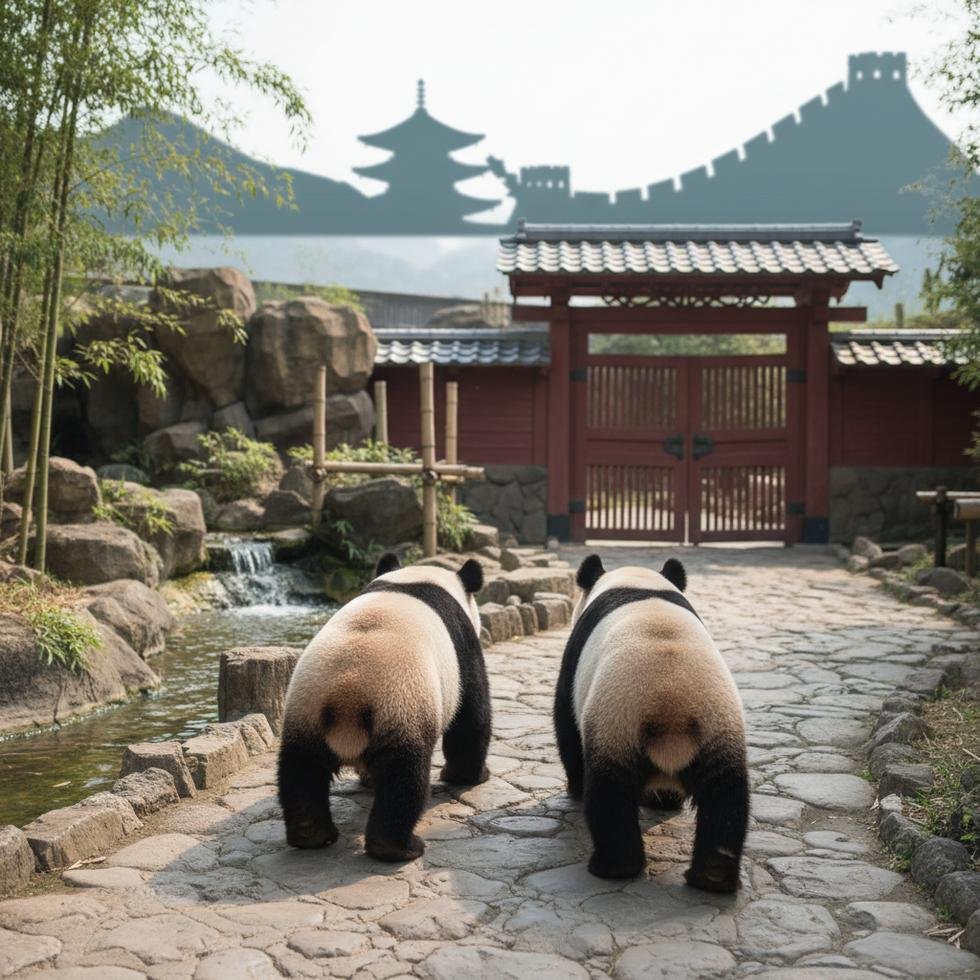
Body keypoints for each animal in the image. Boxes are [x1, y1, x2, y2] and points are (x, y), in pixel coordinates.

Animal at [278, 552, 491, 862]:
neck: (413, 577)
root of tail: (347, 697)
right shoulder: (461, 649)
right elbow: (470, 716)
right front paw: (469, 776)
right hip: (402, 707)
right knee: (404, 777)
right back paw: (398, 847)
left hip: (305, 710)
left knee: (301, 769)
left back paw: (311, 834)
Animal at [553, 553, 749, 892]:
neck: (640, 583)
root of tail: (671, 716)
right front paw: (665, 802)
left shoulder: (574, 664)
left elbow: (566, 725)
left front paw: (574, 788)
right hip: (719, 729)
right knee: (726, 797)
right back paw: (713, 876)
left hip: (615, 724)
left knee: (609, 797)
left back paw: (613, 866)